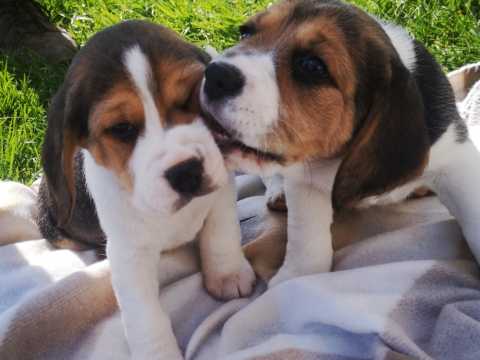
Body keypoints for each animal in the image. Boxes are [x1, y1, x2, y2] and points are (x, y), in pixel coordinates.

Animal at [41, 21, 256, 358]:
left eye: (189, 97)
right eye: (121, 129)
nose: (186, 171)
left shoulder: (221, 188)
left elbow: (221, 233)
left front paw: (227, 273)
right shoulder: (129, 253)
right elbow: (144, 313)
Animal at [200, 0, 480, 286]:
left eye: (312, 66)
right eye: (244, 33)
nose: (213, 74)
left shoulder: (456, 160)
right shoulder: (305, 182)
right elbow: (307, 238)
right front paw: (295, 278)